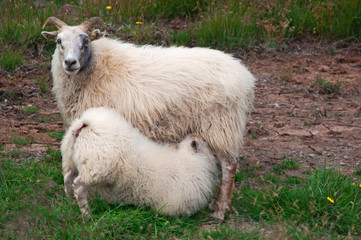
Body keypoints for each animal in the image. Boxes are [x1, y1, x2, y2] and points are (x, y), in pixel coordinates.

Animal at [60, 108, 218, 217]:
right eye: (205, 142)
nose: (197, 135)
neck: (189, 161)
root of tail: (86, 123)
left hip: (70, 158)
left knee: (67, 177)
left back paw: (69, 196)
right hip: (96, 169)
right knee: (79, 186)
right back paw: (86, 213)